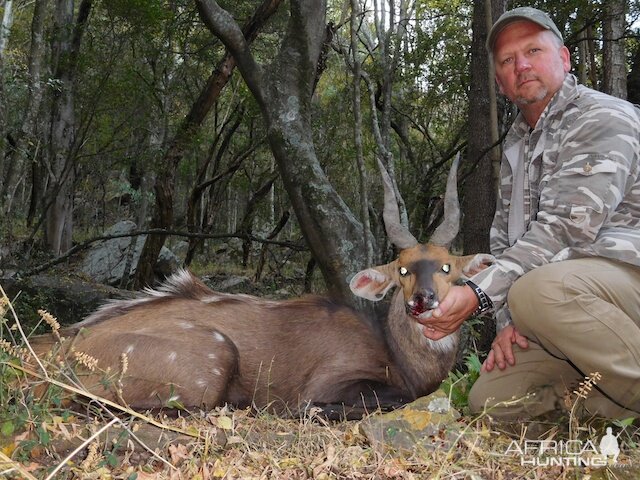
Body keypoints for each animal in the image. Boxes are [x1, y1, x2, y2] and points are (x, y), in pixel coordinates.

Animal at [30, 158, 492, 416]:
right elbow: (368, 400)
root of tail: (50, 351)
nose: (423, 301)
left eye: (448, 266)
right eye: (403, 269)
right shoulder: (328, 381)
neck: (398, 355)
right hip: (212, 358)